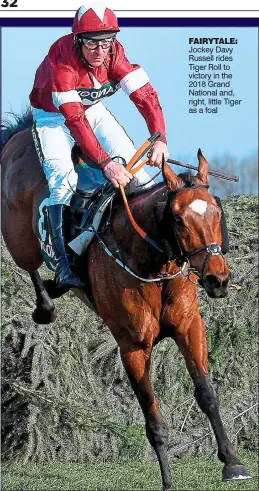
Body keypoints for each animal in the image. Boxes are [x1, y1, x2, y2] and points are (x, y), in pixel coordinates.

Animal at [0, 113, 252, 490]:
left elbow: (207, 393)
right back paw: (48, 300)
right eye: (178, 220)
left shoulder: (188, 327)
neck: (151, 261)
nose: (217, 279)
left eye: (216, 213)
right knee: (30, 262)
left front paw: (232, 462)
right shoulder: (132, 346)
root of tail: (19, 131)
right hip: (20, 238)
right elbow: (154, 419)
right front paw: (168, 481)